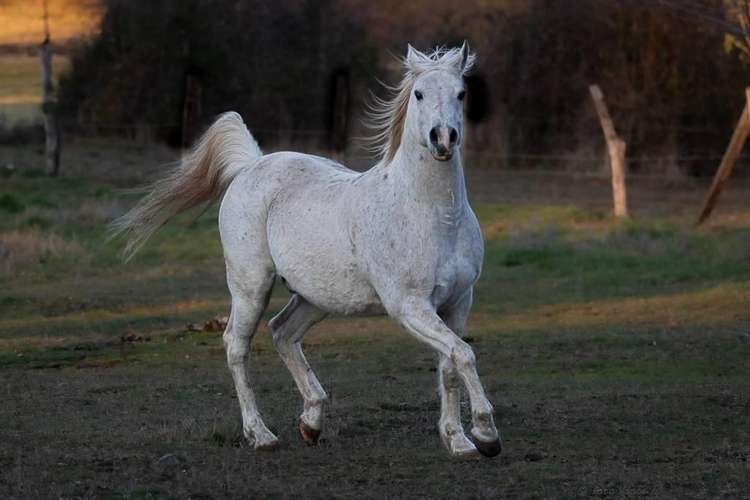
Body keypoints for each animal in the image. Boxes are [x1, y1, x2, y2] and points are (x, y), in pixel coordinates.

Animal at [111, 43, 502, 458]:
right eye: (419, 94)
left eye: (461, 93)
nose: (443, 138)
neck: (432, 214)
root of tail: (251, 165)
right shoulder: (409, 306)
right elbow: (463, 355)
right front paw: (486, 434)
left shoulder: (457, 302)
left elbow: (451, 364)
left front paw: (458, 439)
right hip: (251, 286)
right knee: (237, 345)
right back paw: (261, 435)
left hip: (317, 297)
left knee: (282, 332)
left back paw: (311, 423)